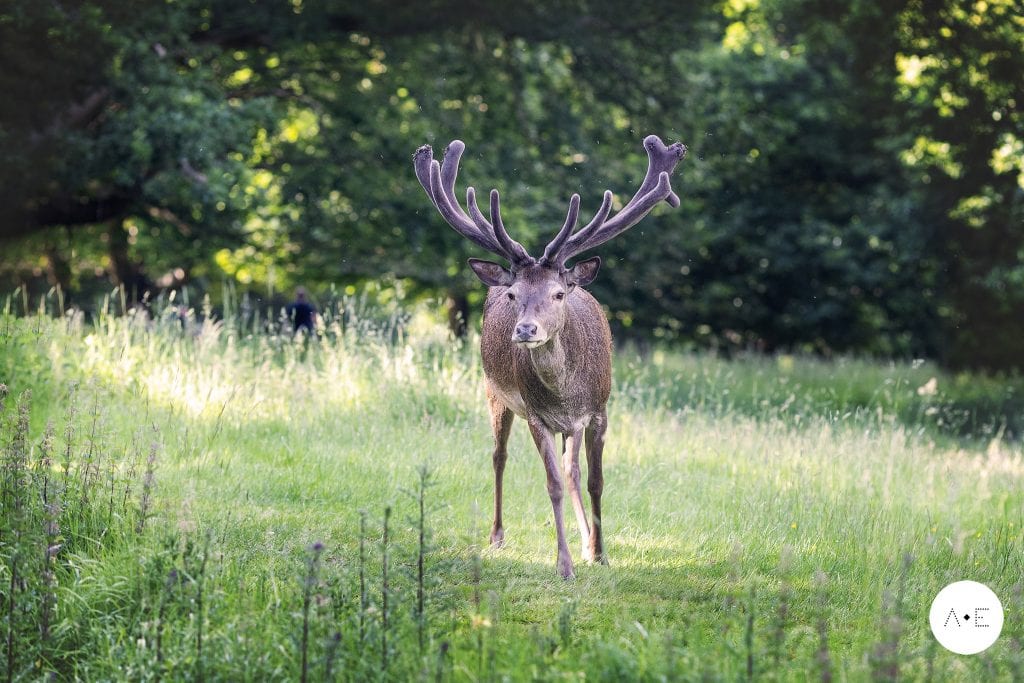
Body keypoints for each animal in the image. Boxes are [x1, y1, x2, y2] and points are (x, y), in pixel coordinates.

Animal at [413, 135, 687, 578]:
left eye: (558, 294)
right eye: (514, 295)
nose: (525, 330)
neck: (565, 392)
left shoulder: (598, 411)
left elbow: (594, 480)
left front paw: (600, 552)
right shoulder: (537, 416)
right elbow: (553, 484)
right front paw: (564, 564)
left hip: (569, 424)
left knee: (573, 469)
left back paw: (587, 539)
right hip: (494, 393)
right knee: (499, 456)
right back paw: (497, 536)